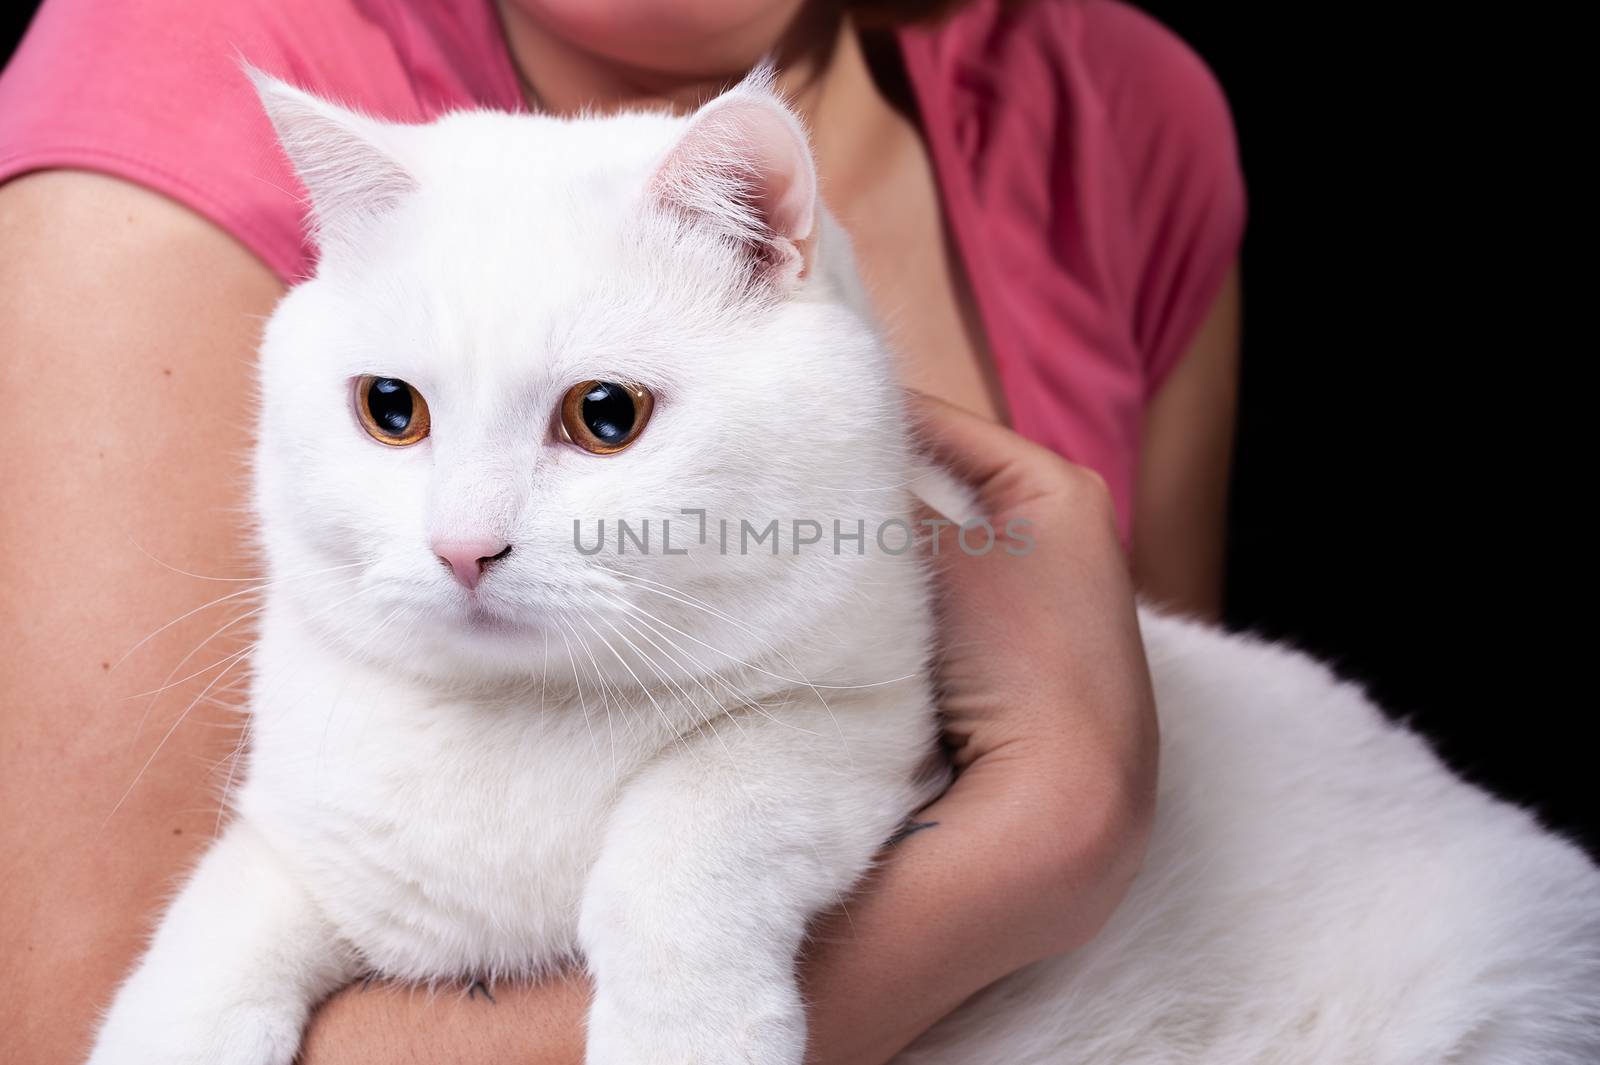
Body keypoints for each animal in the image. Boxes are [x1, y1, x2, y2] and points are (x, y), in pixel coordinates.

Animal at [84, 70, 1600, 1055]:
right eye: (390, 410)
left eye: (606, 417)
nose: (463, 545)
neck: (518, 741)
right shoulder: (309, 845)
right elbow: (212, 925)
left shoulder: (864, 736)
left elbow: (691, 819)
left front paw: (683, 1032)